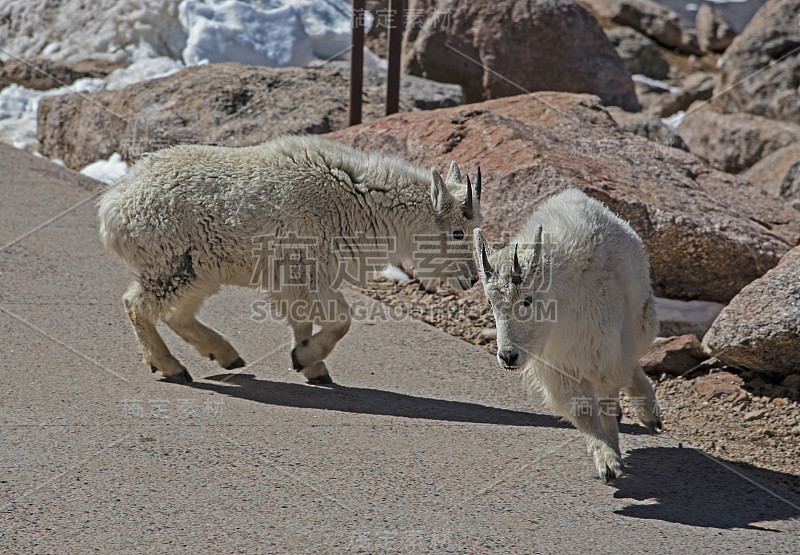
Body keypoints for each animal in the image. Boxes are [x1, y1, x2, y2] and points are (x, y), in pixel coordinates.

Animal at [97, 136, 478, 386]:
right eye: (458, 232)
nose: (471, 279)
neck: (360, 202)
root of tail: (112, 207)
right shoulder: (304, 270)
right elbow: (342, 321)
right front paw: (305, 358)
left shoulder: (298, 277)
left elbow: (302, 322)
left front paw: (312, 366)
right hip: (172, 264)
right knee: (137, 304)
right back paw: (171, 366)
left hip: (202, 271)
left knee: (176, 313)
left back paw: (225, 355)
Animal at [476, 189, 664, 484]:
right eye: (490, 303)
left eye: (528, 299)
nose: (508, 356)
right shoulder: (557, 366)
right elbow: (583, 412)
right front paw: (607, 462)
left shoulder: (604, 355)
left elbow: (605, 403)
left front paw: (614, 456)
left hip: (640, 319)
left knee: (633, 358)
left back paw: (650, 415)